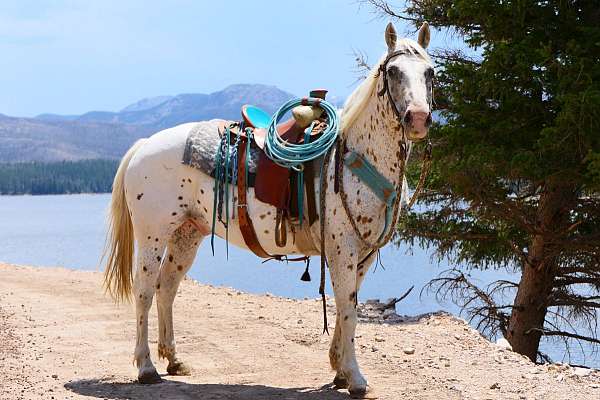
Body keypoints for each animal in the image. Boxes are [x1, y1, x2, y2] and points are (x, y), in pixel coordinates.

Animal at [103, 23, 432, 398]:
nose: (418, 118)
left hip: (186, 234)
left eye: (430, 72)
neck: (356, 155)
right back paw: (146, 367)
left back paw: (173, 360)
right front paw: (355, 377)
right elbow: (348, 308)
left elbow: (345, 305)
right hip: (152, 235)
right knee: (144, 290)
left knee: (166, 288)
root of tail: (145, 144)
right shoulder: (343, 248)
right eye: (393, 71)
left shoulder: (362, 252)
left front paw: (338, 370)